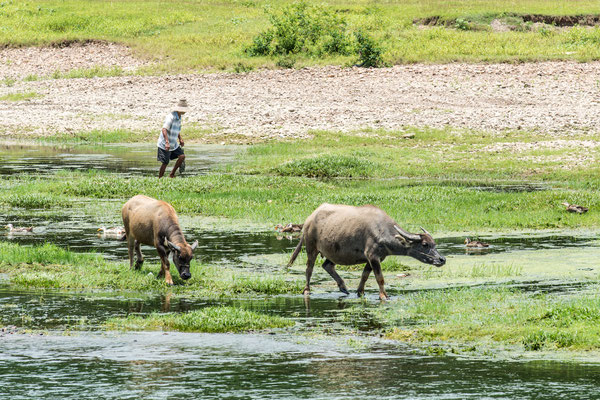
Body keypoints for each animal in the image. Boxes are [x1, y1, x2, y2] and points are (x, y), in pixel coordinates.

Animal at [286, 205, 446, 298]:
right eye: (425, 244)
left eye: (434, 244)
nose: (442, 259)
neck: (381, 231)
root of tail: (309, 220)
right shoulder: (373, 256)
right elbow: (379, 278)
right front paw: (384, 296)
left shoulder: (374, 258)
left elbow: (364, 275)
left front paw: (360, 292)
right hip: (311, 247)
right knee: (309, 269)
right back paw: (307, 290)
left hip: (332, 252)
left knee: (327, 265)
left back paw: (343, 287)